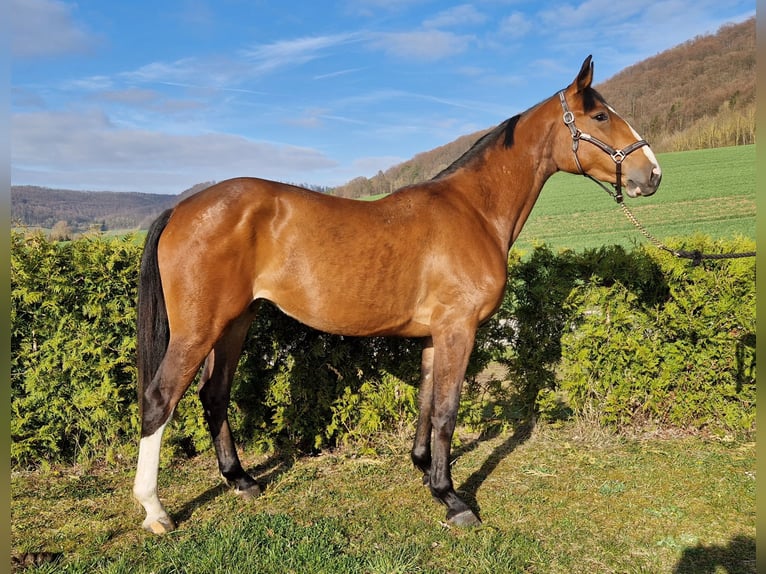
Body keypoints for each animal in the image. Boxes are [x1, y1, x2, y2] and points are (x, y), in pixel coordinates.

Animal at [133, 55, 662, 534]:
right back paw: (156, 511)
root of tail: (182, 208)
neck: (474, 210)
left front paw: (426, 471)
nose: (652, 173)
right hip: (200, 328)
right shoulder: (458, 329)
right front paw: (453, 499)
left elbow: (427, 403)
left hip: (235, 322)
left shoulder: (433, 335)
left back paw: (240, 480)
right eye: (600, 116)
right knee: (160, 399)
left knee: (214, 394)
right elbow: (447, 411)